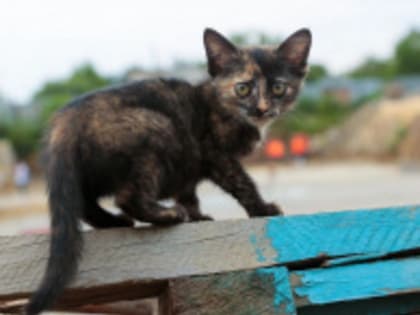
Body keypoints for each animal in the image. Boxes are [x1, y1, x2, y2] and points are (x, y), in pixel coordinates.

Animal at [25, 27, 308, 315]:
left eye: (278, 87)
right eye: (242, 88)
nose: (262, 108)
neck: (220, 104)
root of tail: (64, 121)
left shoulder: (190, 163)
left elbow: (188, 191)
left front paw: (198, 216)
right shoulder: (214, 152)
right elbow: (241, 182)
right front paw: (262, 209)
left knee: (84, 202)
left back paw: (115, 222)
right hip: (159, 129)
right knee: (126, 196)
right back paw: (167, 214)